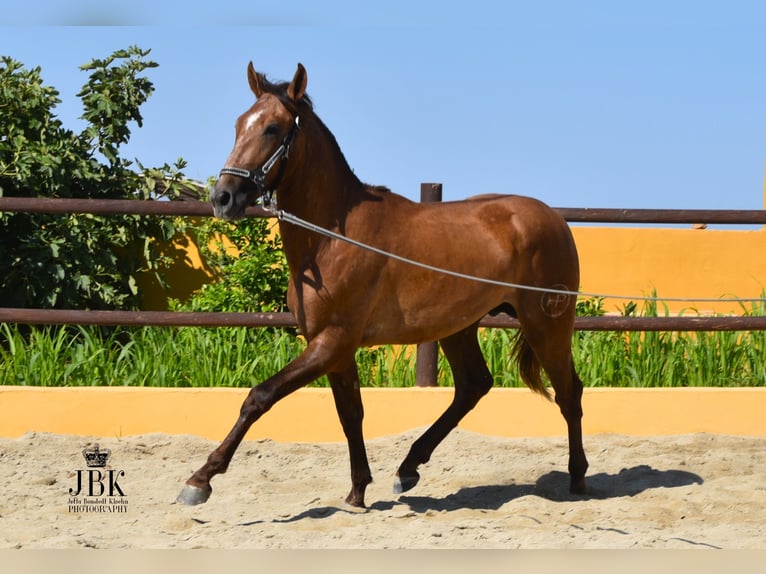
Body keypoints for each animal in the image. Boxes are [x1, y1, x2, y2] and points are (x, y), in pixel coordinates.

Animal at [178, 63, 588, 510]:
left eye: (272, 128)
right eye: (239, 125)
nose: (223, 197)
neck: (331, 238)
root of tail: (554, 218)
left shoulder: (332, 341)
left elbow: (260, 396)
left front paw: (199, 480)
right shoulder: (334, 348)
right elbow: (350, 414)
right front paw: (357, 492)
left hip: (547, 324)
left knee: (569, 393)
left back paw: (578, 479)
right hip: (459, 327)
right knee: (473, 386)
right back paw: (408, 468)